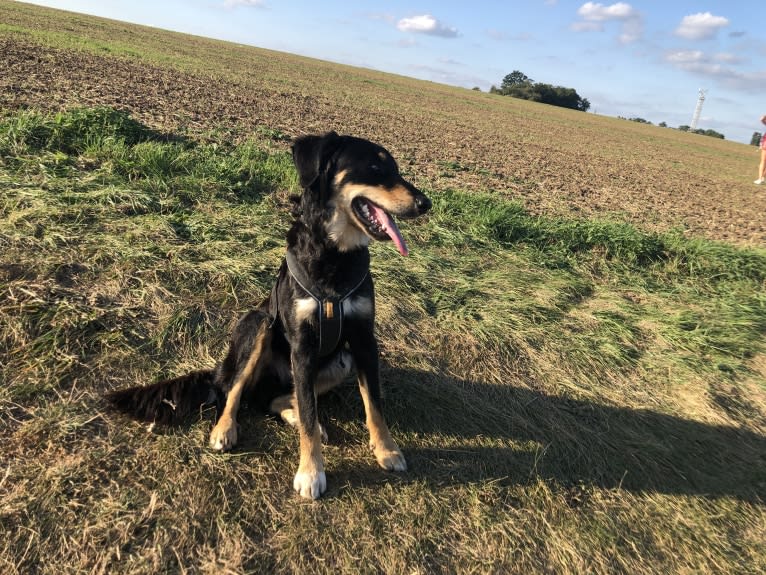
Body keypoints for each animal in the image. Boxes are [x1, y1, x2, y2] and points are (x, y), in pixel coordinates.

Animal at [107, 132, 432, 500]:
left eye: (396, 168)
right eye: (375, 168)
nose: (425, 204)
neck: (334, 255)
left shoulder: (364, 340)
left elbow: (373, 404)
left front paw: (386, 450)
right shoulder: (302, 345)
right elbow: (308, 415)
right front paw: (311, 472)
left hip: (339, 361)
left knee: (277, 398)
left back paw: (297, 417)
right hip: (259, 326)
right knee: (234, 392)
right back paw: (225, 429)